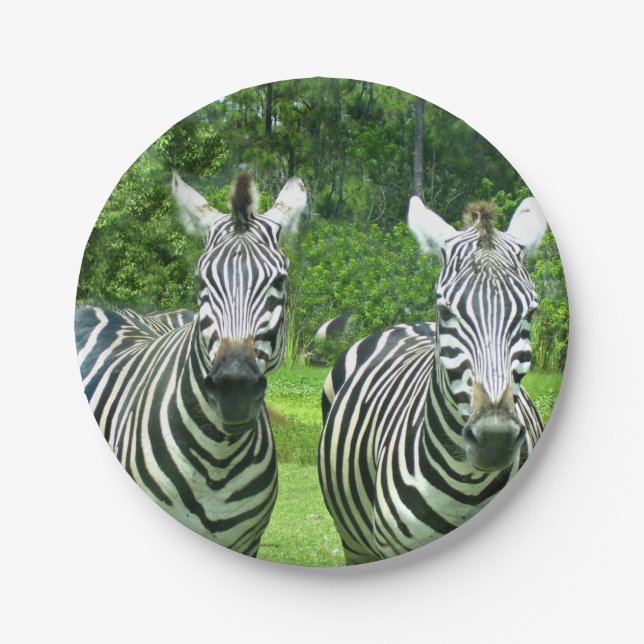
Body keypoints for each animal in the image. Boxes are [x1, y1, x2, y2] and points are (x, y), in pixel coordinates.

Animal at [318, 196, 548, 564]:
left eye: (530, 313)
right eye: (446, 311)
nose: (494, 438)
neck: (466, 485)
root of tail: (410, 324)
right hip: (355, 543)